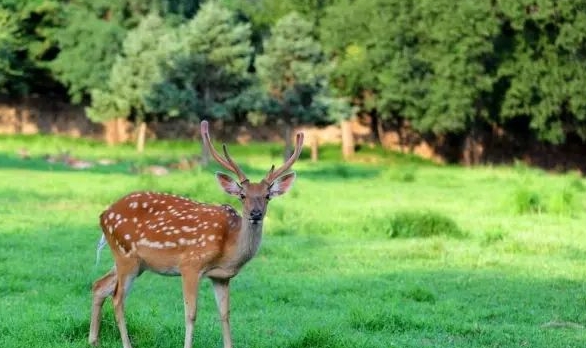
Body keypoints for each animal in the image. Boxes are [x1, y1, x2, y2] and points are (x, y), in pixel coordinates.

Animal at [89, 120, 304, 348]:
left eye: (267, 196)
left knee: (99, 285)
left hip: (135, 262)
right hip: (126, 257)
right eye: (242, 195)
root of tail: (103, 215)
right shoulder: (190, 265)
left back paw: (93, 340)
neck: (228, 248)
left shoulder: (221, 277)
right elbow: (191, 314)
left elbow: (225, 314)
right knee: (117, 298)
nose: (255, 213)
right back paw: (125, 343)